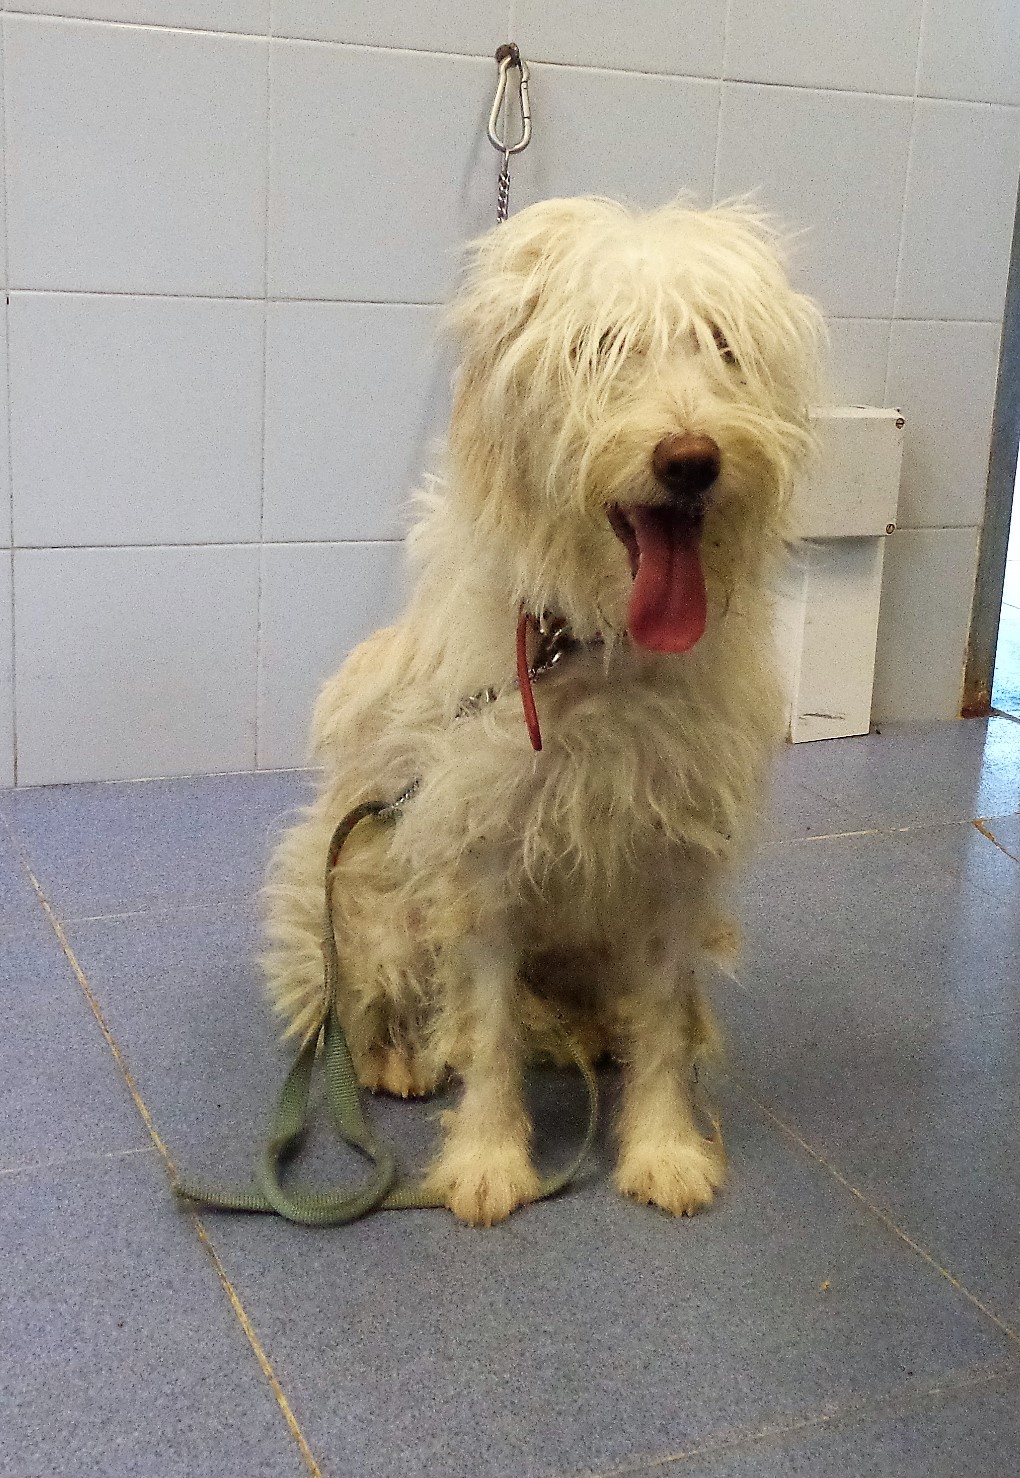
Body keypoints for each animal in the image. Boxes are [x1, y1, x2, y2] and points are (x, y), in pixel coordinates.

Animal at [263, 196, 822, 1226]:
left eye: (721, 344)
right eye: (602, 346)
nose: (692, 460)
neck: (594, 648)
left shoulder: (672, 867)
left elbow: (662, 1024)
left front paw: (662, 1147)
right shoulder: (480, 863)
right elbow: (484, 1033)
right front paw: (488, 1161)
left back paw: (584, 1038)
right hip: (357, 899)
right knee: (363, 1009)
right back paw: (397, 1058)